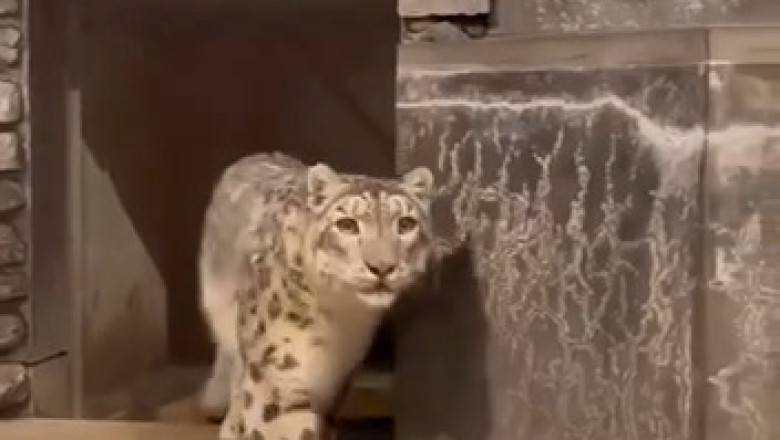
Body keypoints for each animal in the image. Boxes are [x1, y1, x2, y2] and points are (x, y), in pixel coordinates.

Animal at [197, 151, 435, 439]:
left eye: (406, 224)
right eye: (346, 224)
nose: (382, 267)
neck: (339, 322)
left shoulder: (336, 381)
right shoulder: (279, 380)